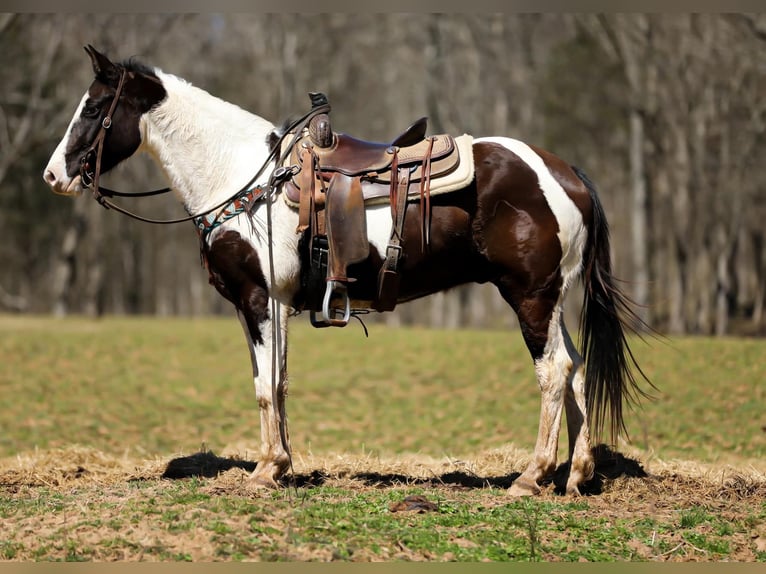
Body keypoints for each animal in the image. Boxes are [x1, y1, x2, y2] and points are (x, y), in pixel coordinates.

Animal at [43, 46, 649, 496]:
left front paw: (265, 469)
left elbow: (264, 385)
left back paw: (532, 476)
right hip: (553, 298)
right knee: (575, 369)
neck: (242, 177)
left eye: (93, 109)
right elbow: (276, 381)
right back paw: (577, 475)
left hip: (529, 296)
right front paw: (281, 465)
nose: (53, 176)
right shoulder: (267, 306)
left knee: (554, 372)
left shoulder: (260, 300)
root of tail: (565, 172)